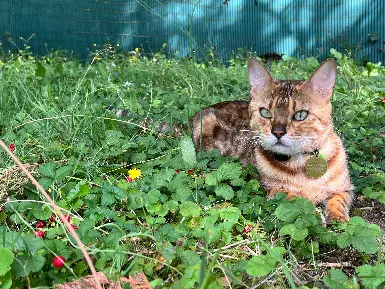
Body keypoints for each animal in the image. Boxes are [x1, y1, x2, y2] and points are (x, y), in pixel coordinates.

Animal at [190, 57, 352, 222]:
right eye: (265, 112)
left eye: (300, 115)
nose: (278, 132)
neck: (302, 164)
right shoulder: (273, 190)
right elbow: (299, 201)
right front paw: (314, 214)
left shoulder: (345, 189)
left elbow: (338, 200)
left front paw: (338, 217)